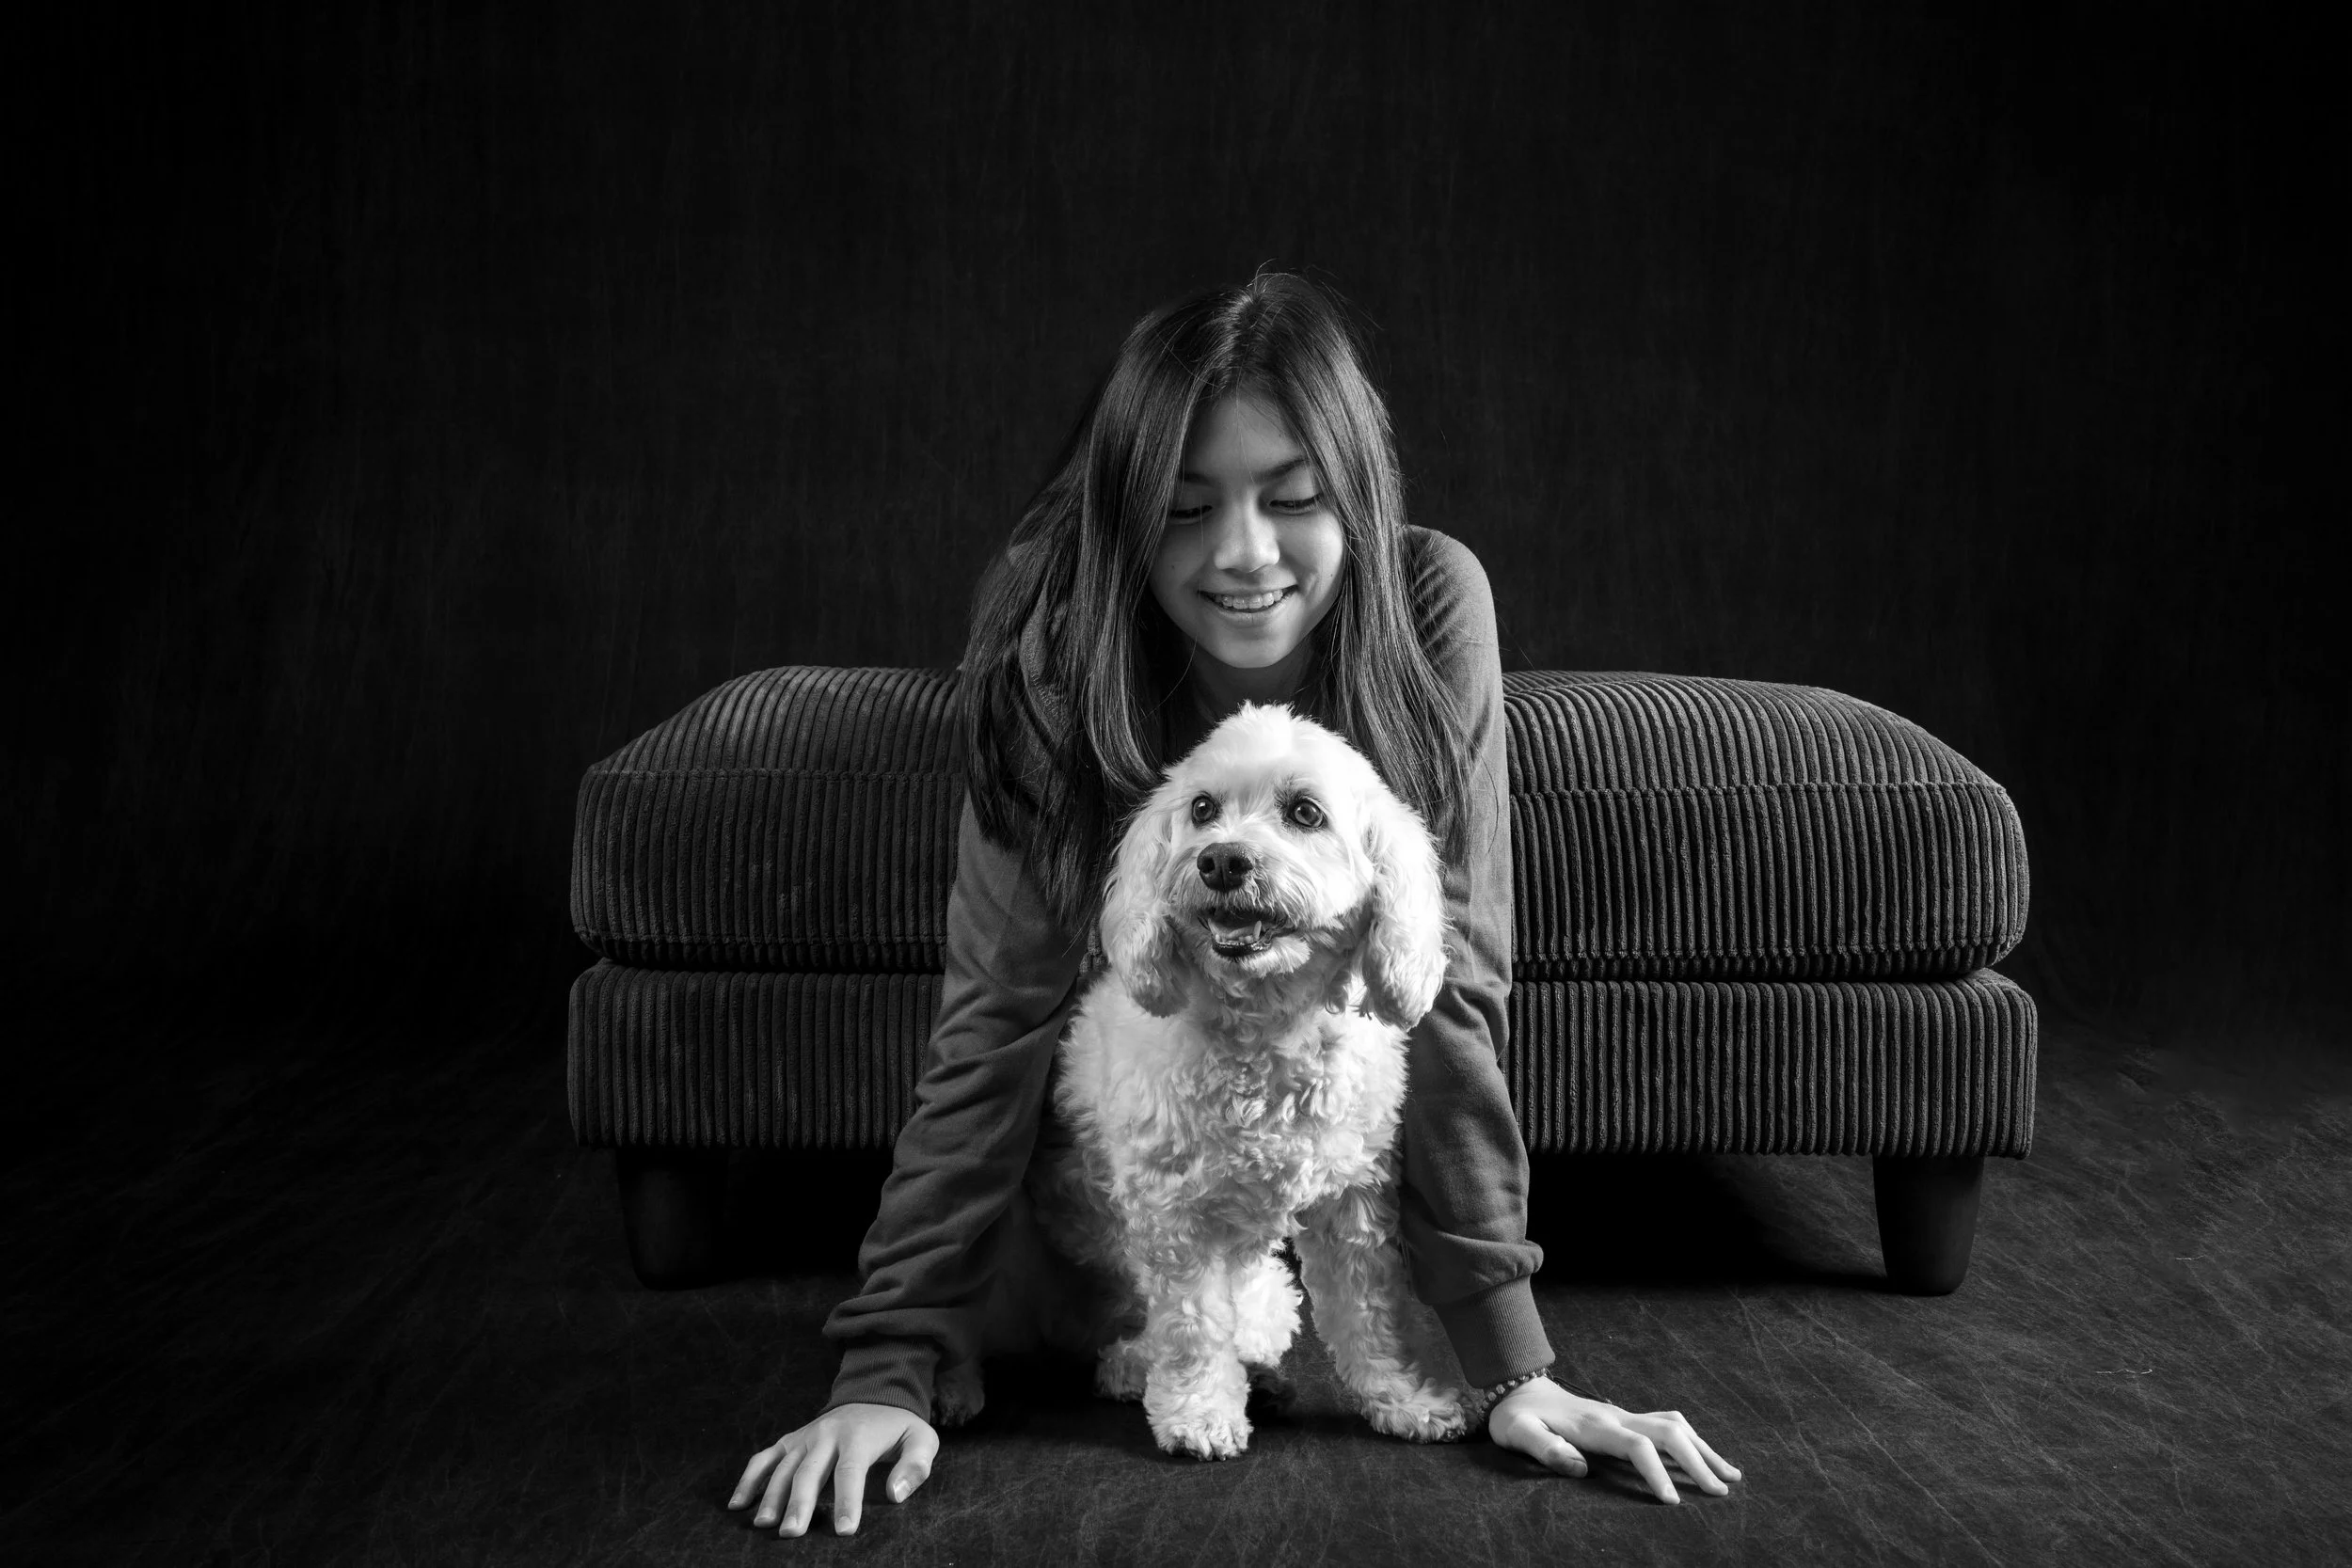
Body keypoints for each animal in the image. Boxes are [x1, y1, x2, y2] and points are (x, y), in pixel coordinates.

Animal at [1021, 701, 1471, 1460]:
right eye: (1202, 808)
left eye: (1305, 812)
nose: (1222, 859)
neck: (1267, 1031)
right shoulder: (1174, 1217)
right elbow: (1193, 1327)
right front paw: (1200, 1413)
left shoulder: (1353, 1204)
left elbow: (1370, 1313)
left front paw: (1402, 1398)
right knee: (1132, 1331)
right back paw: (1138, 1367)